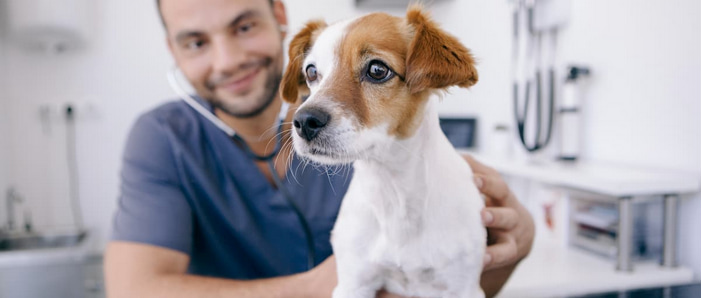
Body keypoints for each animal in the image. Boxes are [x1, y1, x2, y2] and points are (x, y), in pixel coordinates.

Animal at [280, 5, 484, 298]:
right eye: (311, 72)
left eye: (377, 70)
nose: (304, 121)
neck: (393, 190)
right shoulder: (353, 282)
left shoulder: (463, 287)